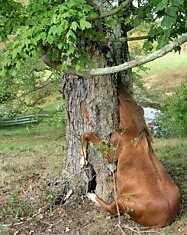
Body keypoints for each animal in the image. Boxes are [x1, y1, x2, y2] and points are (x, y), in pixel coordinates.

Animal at [81, 86, 180, 228]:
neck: (133, 130)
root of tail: (166, 218)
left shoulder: (111, 155)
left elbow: (87, 133)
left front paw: (82, 159)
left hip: (122, 202)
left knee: (111, 210)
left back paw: (90, 194)